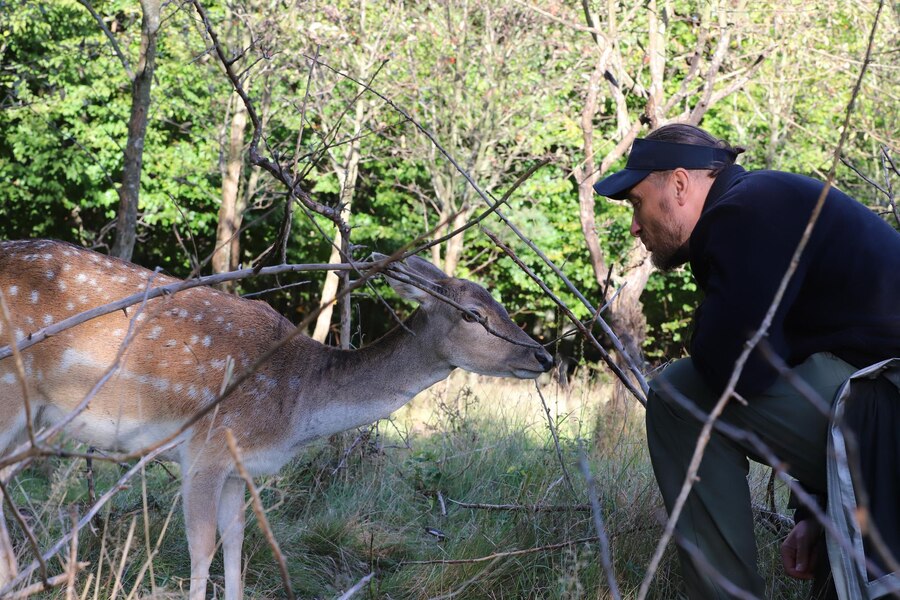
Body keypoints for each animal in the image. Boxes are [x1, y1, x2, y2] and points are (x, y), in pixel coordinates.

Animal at [0, 238, 553, 599]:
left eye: (500, 305)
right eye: (473, 315)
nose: (543, 356)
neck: (294, 408)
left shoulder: (238, 467)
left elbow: (237, 546)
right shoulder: (204, 448)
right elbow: (201, 550)